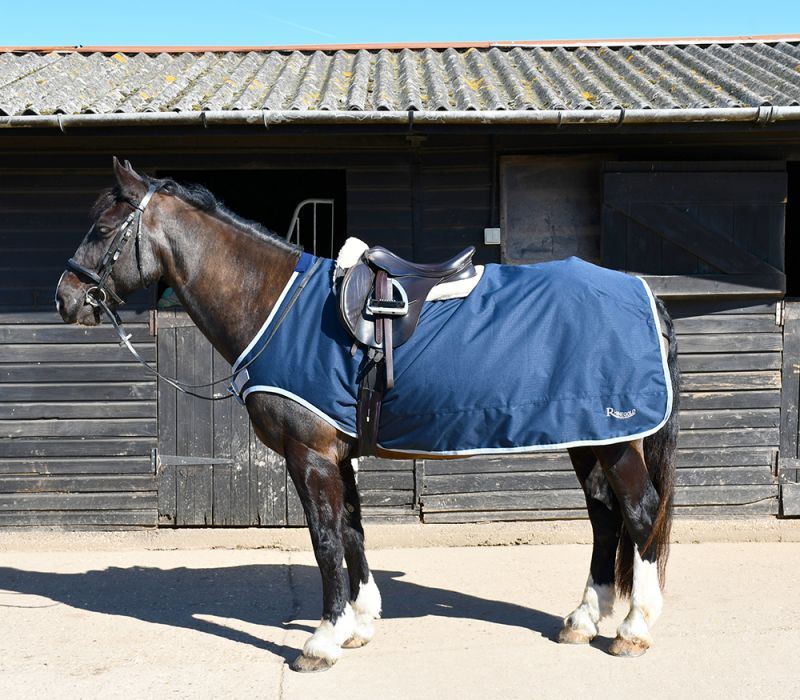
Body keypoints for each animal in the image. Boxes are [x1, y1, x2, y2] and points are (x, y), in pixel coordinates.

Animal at [56, 158, 680, 672]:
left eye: (103, 230)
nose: (65, 298)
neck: (275, 305)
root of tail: (644, 293)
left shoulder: (310, 455)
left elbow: (324, 539)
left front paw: (321, 641)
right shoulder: (338, 455)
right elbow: (352, 531)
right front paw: (358, 624)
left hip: (615, 439)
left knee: (641, 512)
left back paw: (633, 628)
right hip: (590, 437)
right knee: (604, 515)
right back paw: (583, 619)